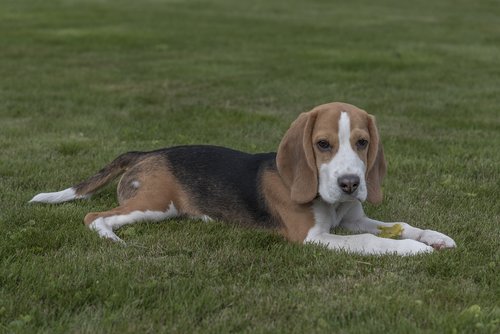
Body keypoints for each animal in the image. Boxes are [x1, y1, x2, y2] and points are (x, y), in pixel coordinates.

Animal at [29, 102, 456, 256]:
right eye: (323, 145)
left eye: (362, 142)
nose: (351, 183)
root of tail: (147, 152)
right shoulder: (310, 237)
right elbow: (372, 240)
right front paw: (411, 250)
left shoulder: (354, 219)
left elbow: (398, 225)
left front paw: (433, 237)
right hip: (155, 205)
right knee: (94, 217)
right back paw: (113, 240)